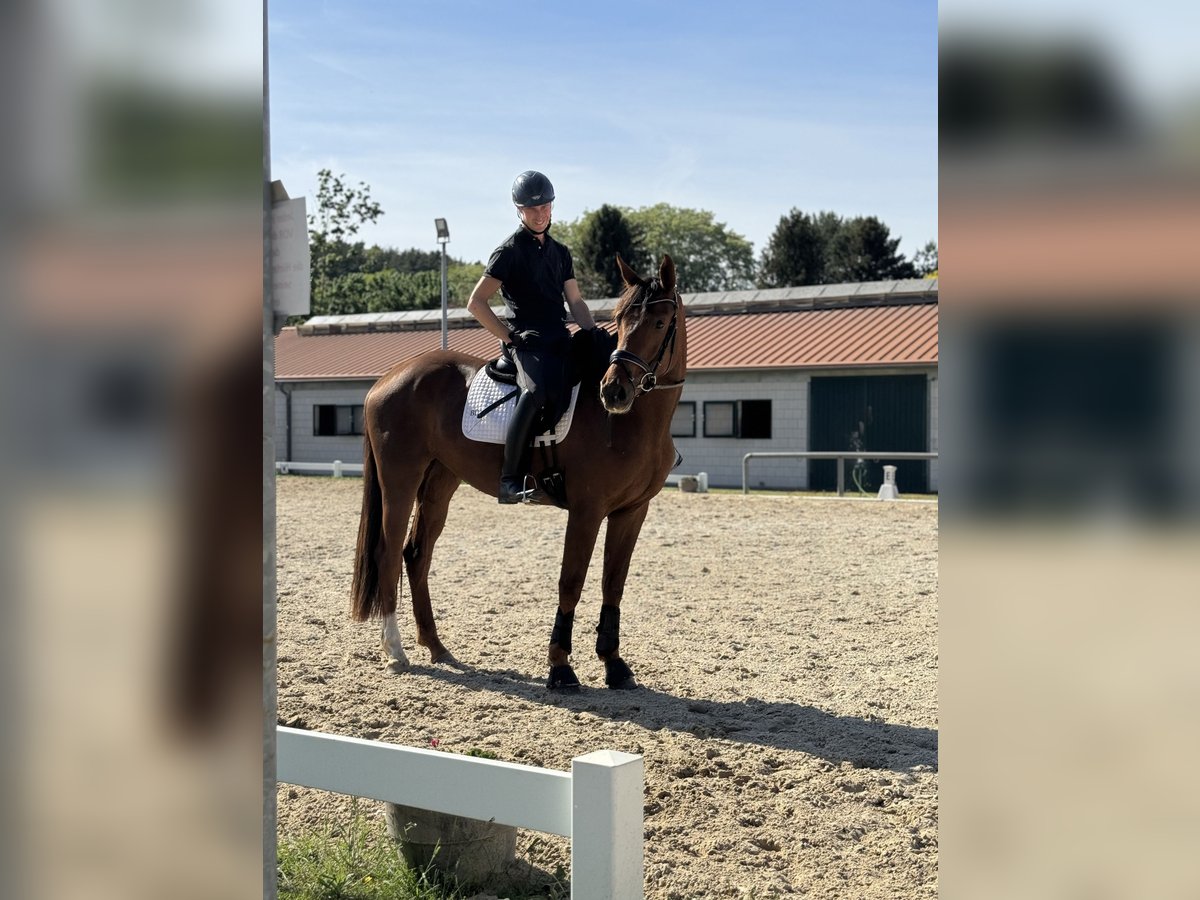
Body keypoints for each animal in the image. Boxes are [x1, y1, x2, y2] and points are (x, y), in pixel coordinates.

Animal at [348, 254, 686, 691]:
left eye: (660, 323)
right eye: (621, 320)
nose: (613, 392)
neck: (631, 422)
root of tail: (390, 376)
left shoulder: (631, 512)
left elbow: (613, 584)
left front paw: (614, 664)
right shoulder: (587, 511)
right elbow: (570, 582)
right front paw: (560, 667)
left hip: (440, 482)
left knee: (416, 554)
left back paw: (436, 646)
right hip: (400, 480)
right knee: (387, 553)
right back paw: (395, 650)